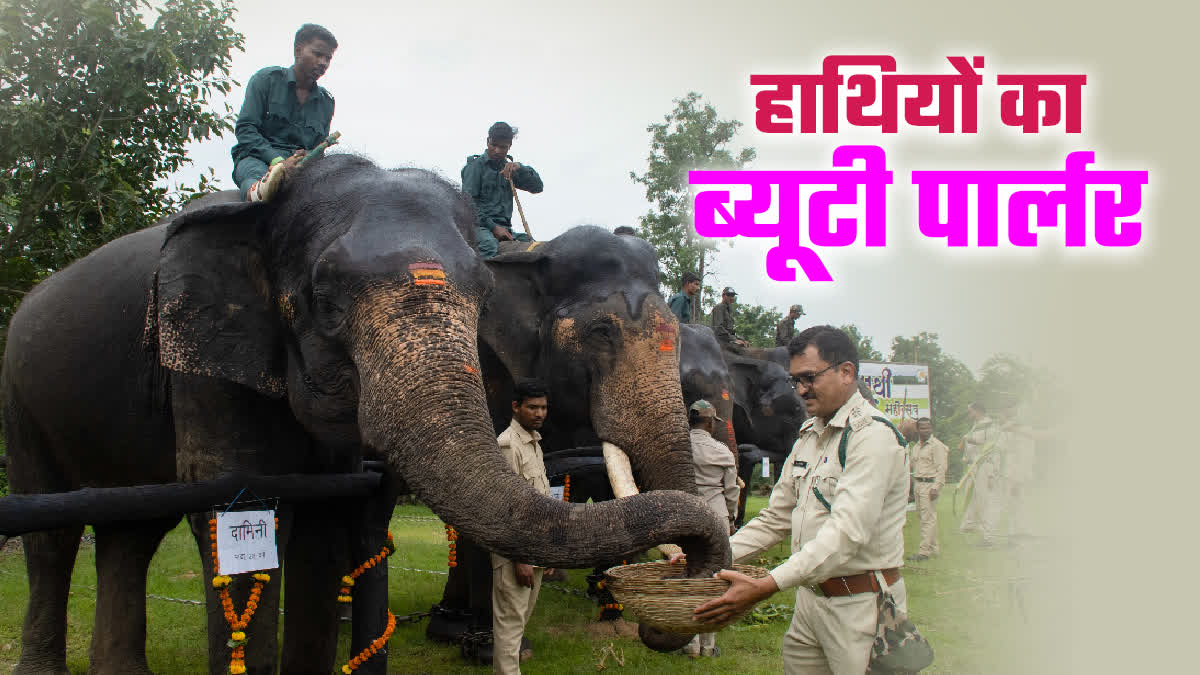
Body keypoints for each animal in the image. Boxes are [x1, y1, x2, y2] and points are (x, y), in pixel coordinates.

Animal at [4, 157, 729, 672]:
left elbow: (328, 519)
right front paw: (473, 638)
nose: (691, 571)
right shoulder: (205, 368)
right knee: (53, 534)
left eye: (482, 296)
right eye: (602, 332)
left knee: (127, 532)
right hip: (21, 399)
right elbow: (232, 503)